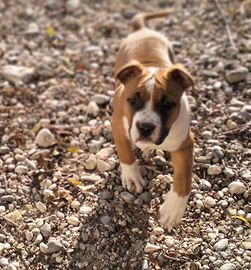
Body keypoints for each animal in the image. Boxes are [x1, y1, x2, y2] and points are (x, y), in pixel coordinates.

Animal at [112, 11, 194, 230]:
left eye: (167, 104)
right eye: (132, 100)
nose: (145, 127)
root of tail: (142, 29)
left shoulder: (184, 144)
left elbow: (184, 177)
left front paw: (173, 209)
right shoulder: (119, 129)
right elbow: (126, 154)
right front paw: (132, 177)